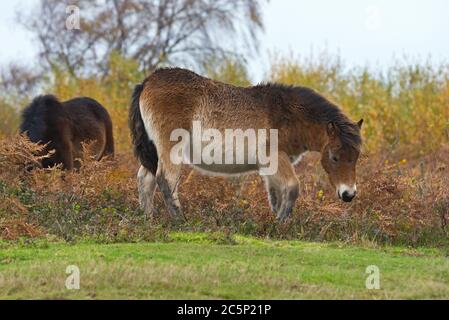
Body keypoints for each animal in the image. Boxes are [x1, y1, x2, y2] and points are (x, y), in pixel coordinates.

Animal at [128, 67, 362, 221]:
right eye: (334, 157)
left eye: (356, 157)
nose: (348, 194)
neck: (287, 114)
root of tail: (147, 81)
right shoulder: (275, 157)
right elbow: (292, 188)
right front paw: (280, 224)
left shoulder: (271, 167)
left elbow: (276, 194)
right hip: (171, 149)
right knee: (166, 179)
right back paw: (180, 220)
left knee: (146, 179)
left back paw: (148, 219)